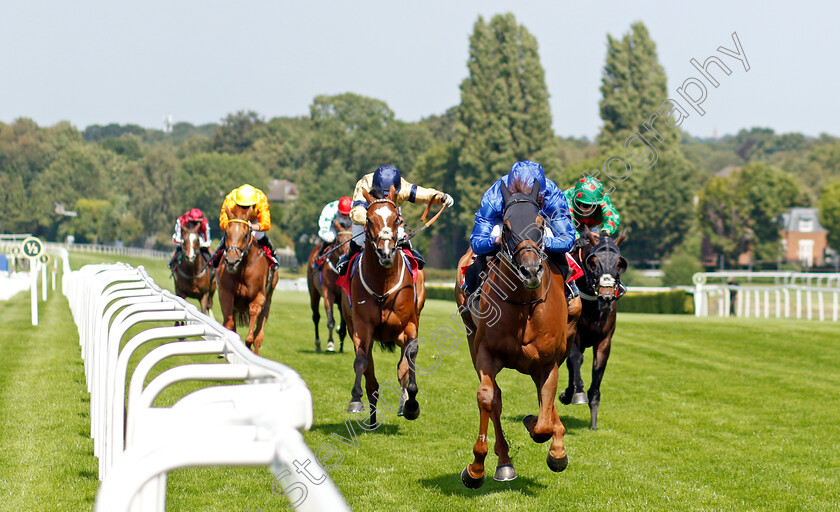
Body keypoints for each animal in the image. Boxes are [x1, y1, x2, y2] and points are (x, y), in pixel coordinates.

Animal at [218, 203, 280, 352]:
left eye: (245, 234)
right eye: (227, 233)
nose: (231, 261)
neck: (242, 270)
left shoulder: (259, 297)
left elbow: (252, 331)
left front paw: (247, 343)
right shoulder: (225, 293)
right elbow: (229, 324)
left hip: (268, 300)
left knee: (259, 336)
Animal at [306, 218, 352, 354]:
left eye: (352, 240)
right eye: (338, 241)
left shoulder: (344, 298)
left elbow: (344, 324)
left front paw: (341, 346)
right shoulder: (328, 294)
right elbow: (330, 320)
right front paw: (330, 344)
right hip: (314, 293)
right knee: (316, 317)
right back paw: (318, 344)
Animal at [344, 185, 426, 428]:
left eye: (397, 219)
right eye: (369, 219)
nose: (386, 253)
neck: (383, 284)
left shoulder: (409, 325)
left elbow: (410, 358)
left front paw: (411, 403)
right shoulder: (362, 327)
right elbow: (361, 360)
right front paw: (355, 400)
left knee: (402, 366)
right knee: (370, 374)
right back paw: (371, 419)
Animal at [456, 180, 576, 488]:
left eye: (540, 224)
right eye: (507, 227)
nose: (530, 269)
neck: (524, 304)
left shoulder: (548, 362)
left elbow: (543, 420)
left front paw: (553, 446)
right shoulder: (486, 353)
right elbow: (488, 397)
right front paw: (475, 468)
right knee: (497, 399)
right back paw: (504, 463)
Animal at [560, 228, 628, 428]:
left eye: (619, 264)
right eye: (593, 262)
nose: (606, 298)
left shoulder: (604, 340)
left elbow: (598, 368)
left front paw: (593, 419)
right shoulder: (573, 334)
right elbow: (575, 359)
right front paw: (577, 393)